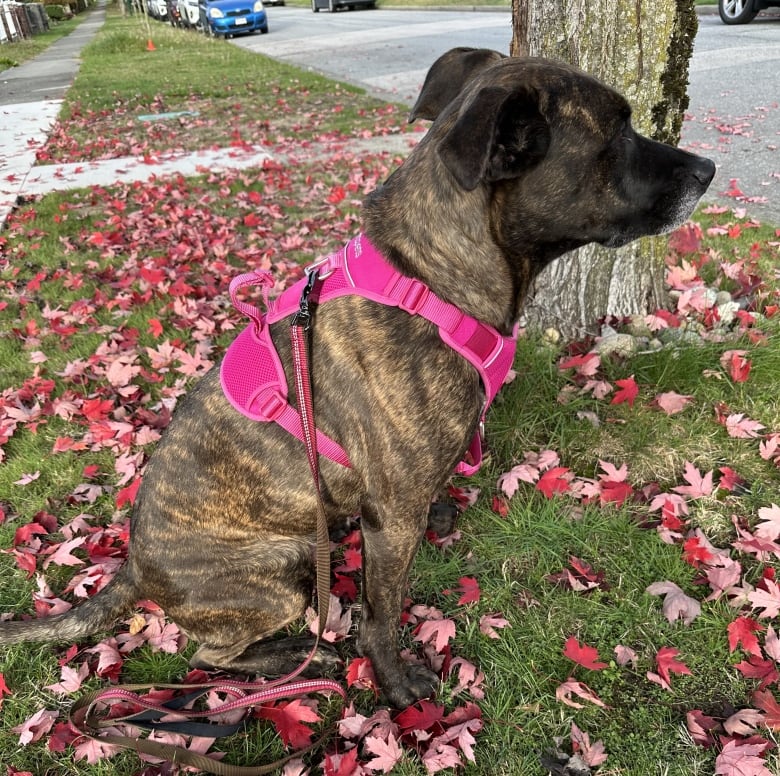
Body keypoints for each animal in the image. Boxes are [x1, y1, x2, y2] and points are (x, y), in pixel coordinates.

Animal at [0, 51, 716, 712]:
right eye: (617, 131)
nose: (707, 171)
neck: (430, 279)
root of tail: (133, 566)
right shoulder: (391, 521)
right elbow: (381, 614)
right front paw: (396, 683)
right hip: (279, 569)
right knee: (210, 656)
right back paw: (293, 653)